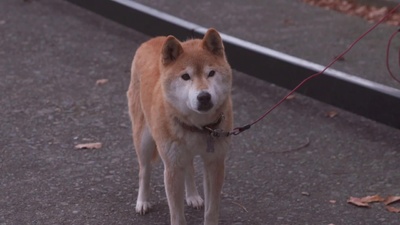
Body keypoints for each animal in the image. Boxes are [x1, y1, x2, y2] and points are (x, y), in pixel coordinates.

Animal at [128, 28, 233, 225]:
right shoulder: (172, 167)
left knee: (190, 168)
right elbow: (177, 216)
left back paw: (192, 196)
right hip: (144, 139)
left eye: (211, 73)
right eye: (185, 77)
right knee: (144, 171)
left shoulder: (214, 162)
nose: (204, 96)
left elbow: (211, 210)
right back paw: (143, 201)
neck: (199, 127)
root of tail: (152, 40)